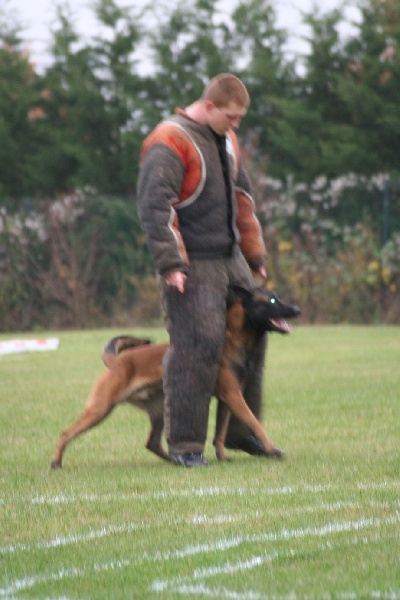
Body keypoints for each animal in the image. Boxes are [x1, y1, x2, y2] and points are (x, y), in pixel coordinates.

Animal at [50, 288, 300, 468]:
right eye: (272, 301)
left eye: (279, 298)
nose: (297, 309)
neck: (232, 341)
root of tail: (117, 361)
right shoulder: (233, 396)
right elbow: (255, 423)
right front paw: (272, 449)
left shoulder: (227, 400)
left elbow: (220, 434)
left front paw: (222, 457)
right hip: (100, 408)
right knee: (66, 432)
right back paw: (56, 462)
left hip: (161, 409)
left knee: (151, 443)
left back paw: (177, 460)